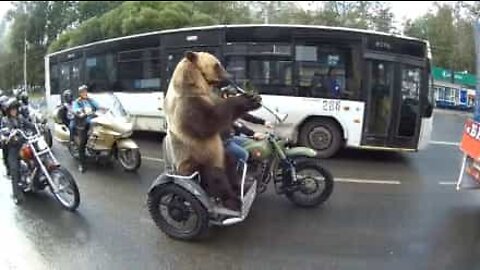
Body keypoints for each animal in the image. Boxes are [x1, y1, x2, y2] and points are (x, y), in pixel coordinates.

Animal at [164, 51, 262, 211]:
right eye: (217, 65)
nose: (229, 77)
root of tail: (177, 172)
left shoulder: (210, 97)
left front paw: (254, 97)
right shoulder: (186, 105)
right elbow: (208, 122)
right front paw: (248, 99)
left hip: (219, 155)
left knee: (230, 161)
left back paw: (239, 185)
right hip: (193, 163)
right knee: (214, 177)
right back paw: (232, 200)